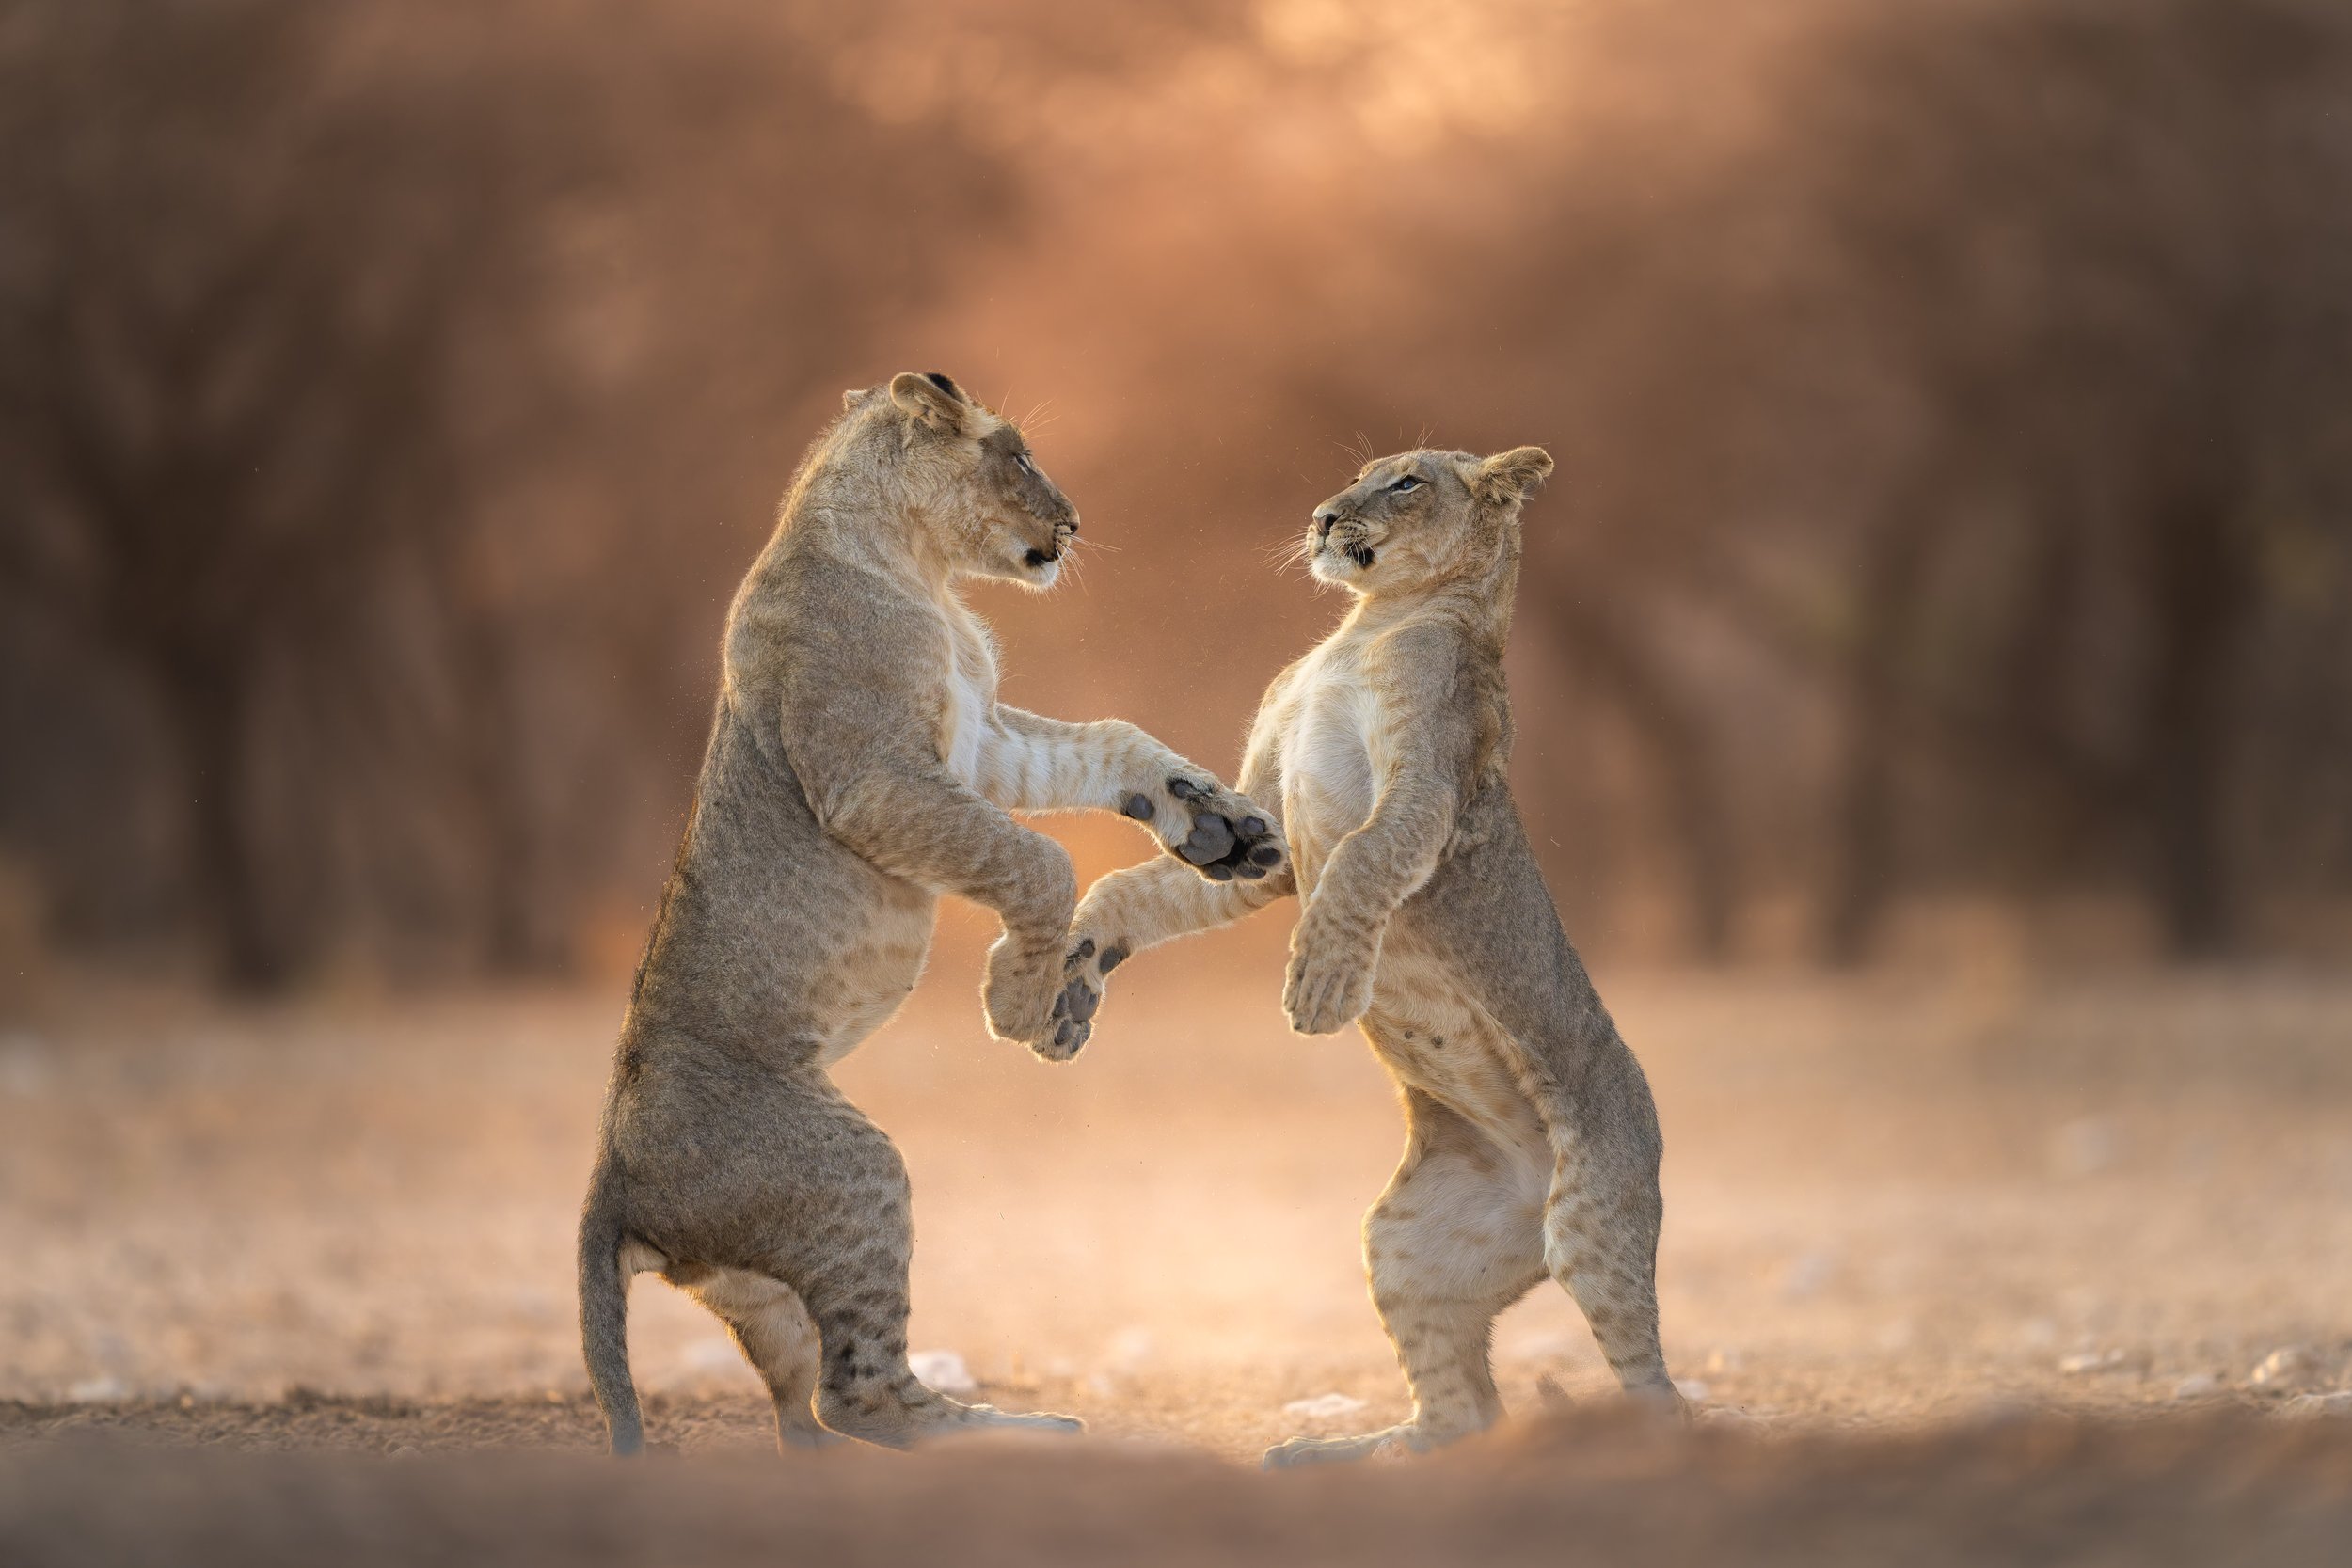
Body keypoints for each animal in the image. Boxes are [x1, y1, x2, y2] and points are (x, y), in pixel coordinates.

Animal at [577, 371, 1284, 1457]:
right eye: (1019, 453)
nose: (1075, 522)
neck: (921, 572)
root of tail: (613, 1181)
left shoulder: (982, 738)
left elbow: (1111, 742)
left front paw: (1219, 827)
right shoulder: (874, 776)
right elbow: (1037, 857)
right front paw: (1023, 1005)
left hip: (757, 1290)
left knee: (806, 1403)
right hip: (850, 1172)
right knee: (861, 1393)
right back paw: (1014, 1431)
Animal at [1042, 443, 1682, 1465]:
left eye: (1407, 481)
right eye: (1364, 472)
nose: (1321, 518)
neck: (1362, 625)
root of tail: (1533, 1209)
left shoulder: (1424, 783)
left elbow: (1358, 866)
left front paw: (1321, 987)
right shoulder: (1264, 834)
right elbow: (1133, 891)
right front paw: (1065, 983)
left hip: (1594, 1219)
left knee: (1657, 1386)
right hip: (1408, 1238)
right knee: (1464, 1410)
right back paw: (1337, 1451)